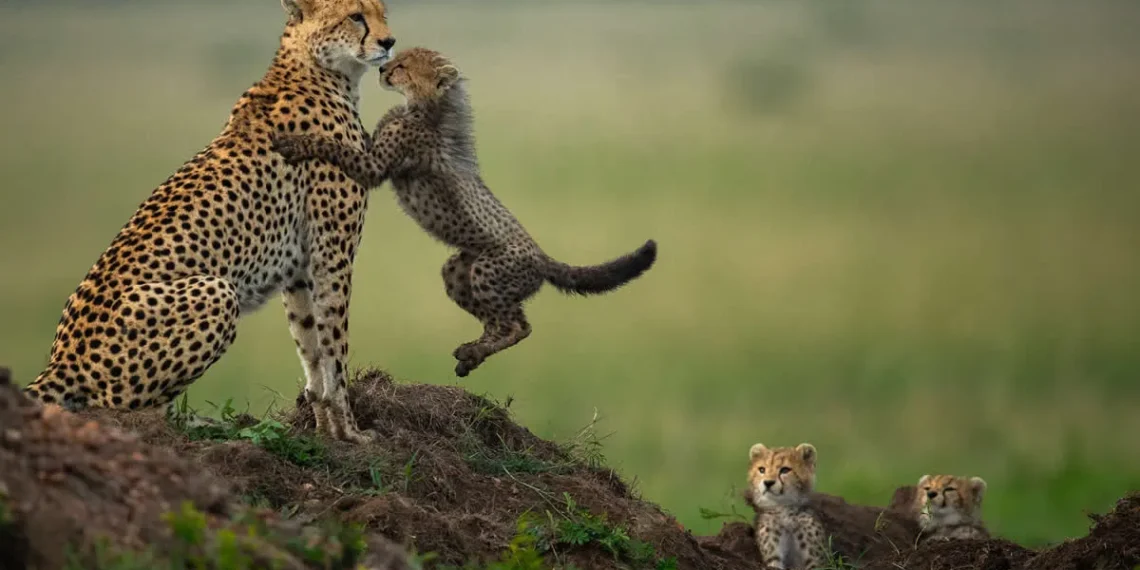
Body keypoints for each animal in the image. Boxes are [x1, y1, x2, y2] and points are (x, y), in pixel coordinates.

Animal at [22, 0, 397, 444]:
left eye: (383, 12)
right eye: (356, 16)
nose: (389, 42)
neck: (319, 70)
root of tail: (60, 358)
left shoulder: (300, 267)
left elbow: (310, 345)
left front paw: (324, 427)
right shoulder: (331, 253)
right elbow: (334, 348)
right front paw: (352, 431)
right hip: (217, 292)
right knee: (122, 408)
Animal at [270, 47, 658, 377]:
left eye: (404, 66)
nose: (382, 69)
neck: (424, 107)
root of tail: (541, 255)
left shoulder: (374, 166)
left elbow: (335, 148)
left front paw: (296, 142)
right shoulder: (375, 147)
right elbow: (357, 137)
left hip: (489, 269)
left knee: (518, 326)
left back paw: (475, 351)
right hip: (460, 269)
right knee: (498, 320)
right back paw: (472, 354)